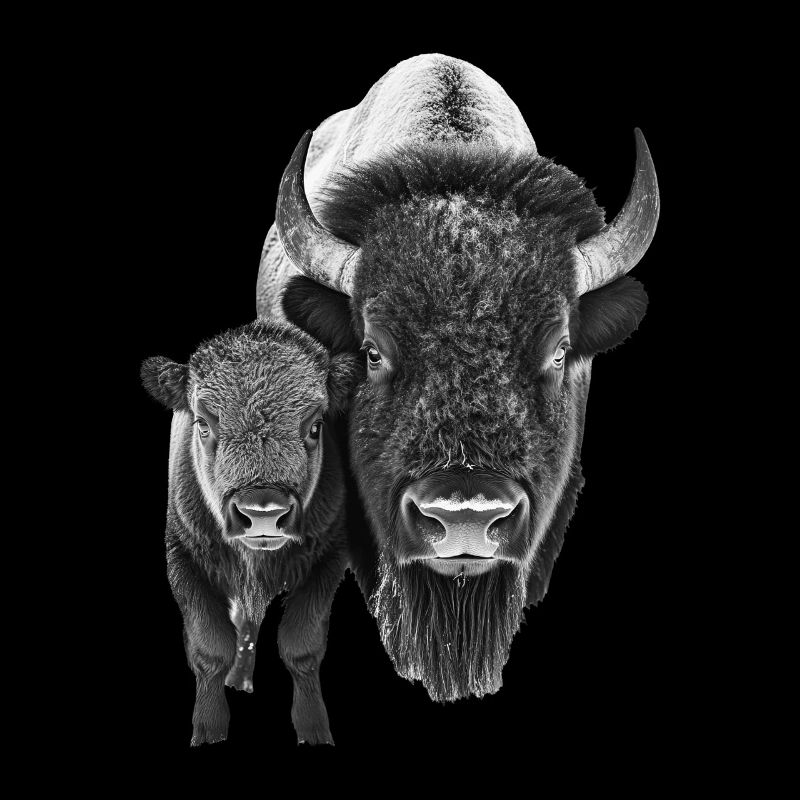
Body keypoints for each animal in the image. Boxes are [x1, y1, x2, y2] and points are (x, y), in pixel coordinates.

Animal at [141, 321, 358, 744]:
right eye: (203, 424)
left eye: (316, 426)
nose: (262, 513)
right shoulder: (183, 559)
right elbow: (210, 648)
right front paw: (208, 730)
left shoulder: (329, 559)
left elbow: (301, 646)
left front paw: (314, 730)